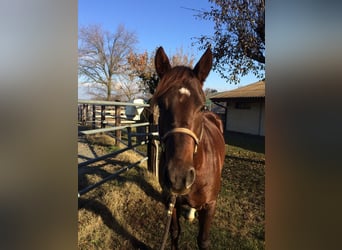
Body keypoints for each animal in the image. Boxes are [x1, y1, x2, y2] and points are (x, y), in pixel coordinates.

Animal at [152, 47, 226, 250]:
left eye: (200, 107)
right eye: (161, 105)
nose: (178, 177)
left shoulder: (210, 206)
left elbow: (203, 241)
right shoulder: (170, 202)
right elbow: (175, 233)